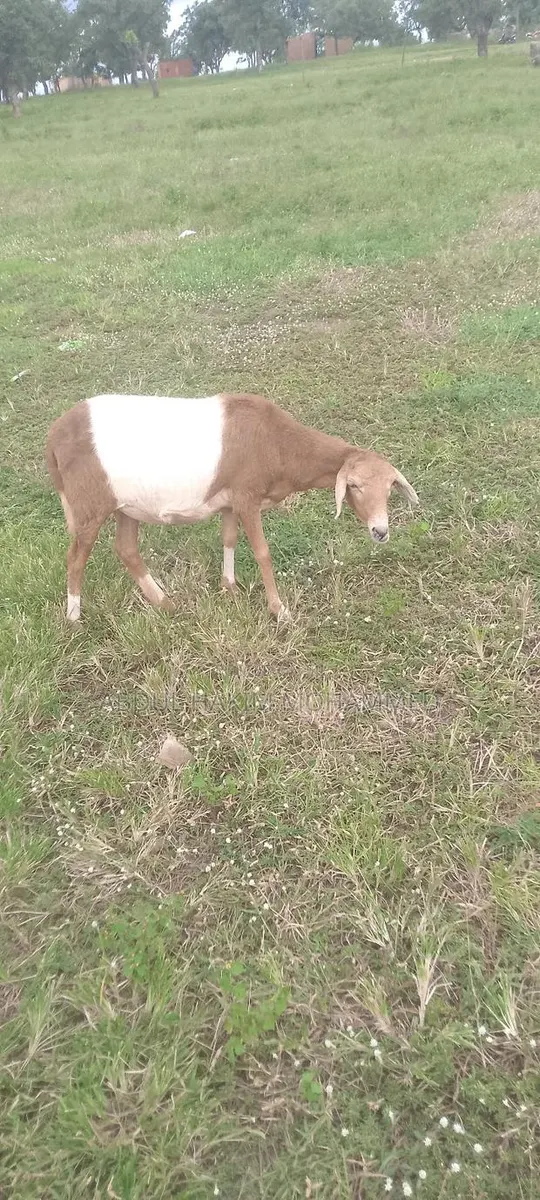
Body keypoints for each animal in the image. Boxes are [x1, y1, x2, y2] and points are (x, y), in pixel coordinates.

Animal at [45, 391, 419, 622]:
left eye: (389, 488)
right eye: (354, 486)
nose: (380, 531)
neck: (277, 442)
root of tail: (54, 437)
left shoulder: (229, 502)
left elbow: (228, 538)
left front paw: (230, 587)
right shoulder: (246, 497)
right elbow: (262, 552)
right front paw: (279, 610)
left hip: (127, 506)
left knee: (125, 549)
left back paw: (166, 603)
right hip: (89, 505)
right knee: (75, 557)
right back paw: (74, 618)